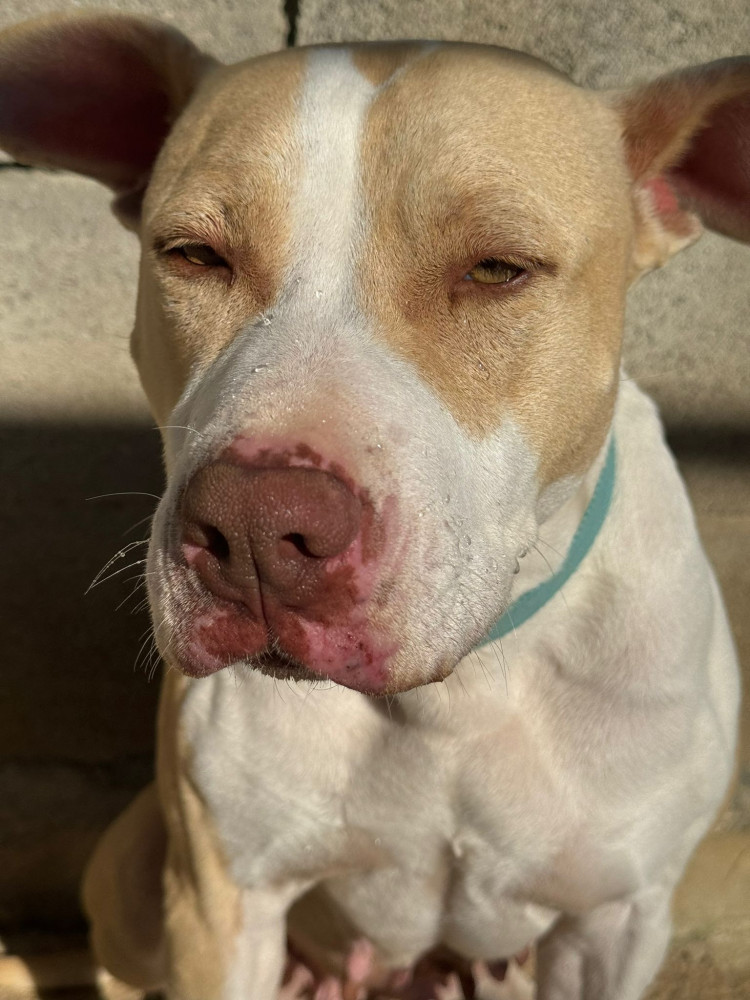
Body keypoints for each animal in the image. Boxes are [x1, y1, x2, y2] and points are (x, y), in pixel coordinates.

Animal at [0, 12, 744, 1000]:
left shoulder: (615, 925)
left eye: (498, 268)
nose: (257, 528)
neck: (461, 693)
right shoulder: (222, 901)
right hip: (132, 871)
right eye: (192, 254)